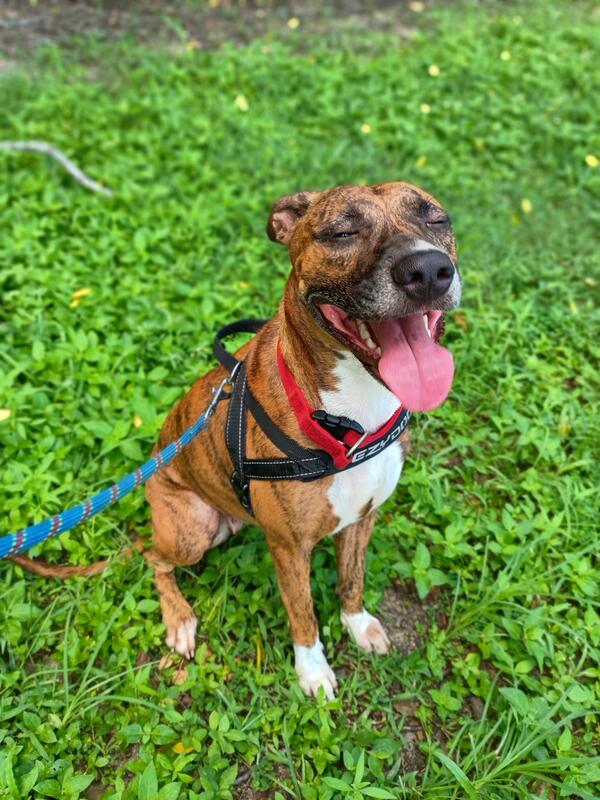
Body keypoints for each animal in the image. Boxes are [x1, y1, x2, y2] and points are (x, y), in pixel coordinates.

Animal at [143, 181, 461, 699]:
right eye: (343, 232)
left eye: (436, 219)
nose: (429, 271)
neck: (351, 417)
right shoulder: (290, 549)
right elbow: (302, 613)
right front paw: (312, 672)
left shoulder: (362, 518)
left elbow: (352, 580)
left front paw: (358, 625)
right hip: (193, 528)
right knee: (154, 558)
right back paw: (180, 620)